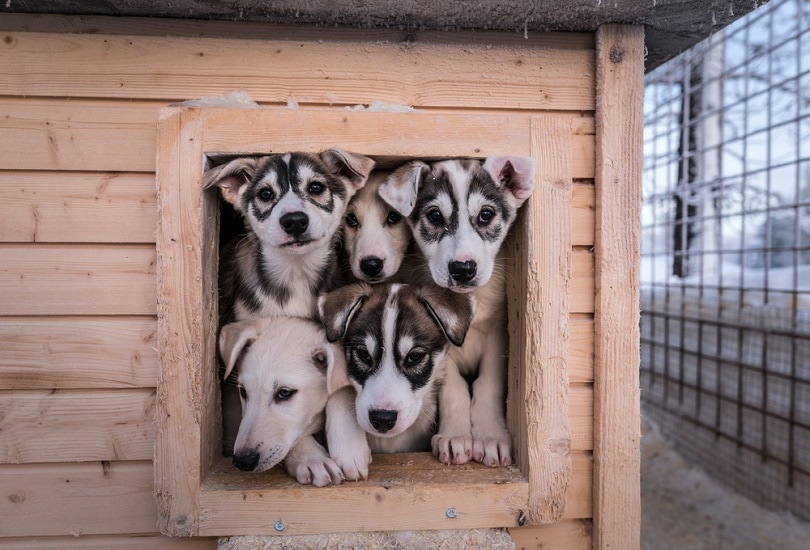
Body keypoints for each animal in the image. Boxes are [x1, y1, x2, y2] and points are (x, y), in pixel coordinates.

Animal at [380, 156, 536, 470]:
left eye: (486, 215)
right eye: (435, 216)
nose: (463, 269)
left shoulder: (499, 334)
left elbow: (488, 384)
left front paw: (489, 436)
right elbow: (453, 389)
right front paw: (456, 436)